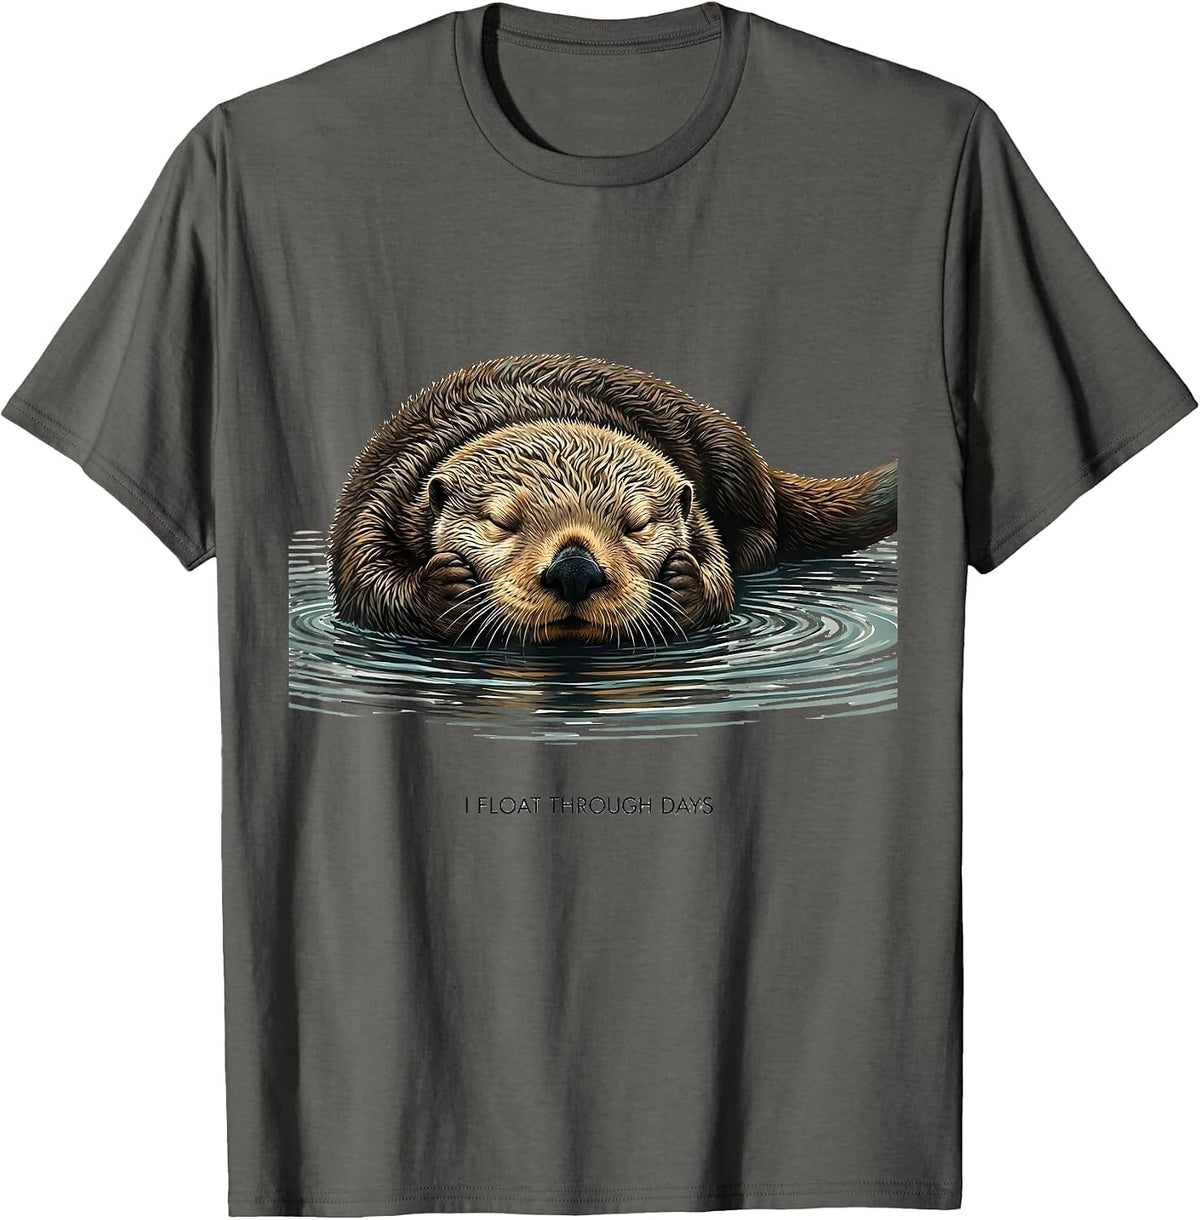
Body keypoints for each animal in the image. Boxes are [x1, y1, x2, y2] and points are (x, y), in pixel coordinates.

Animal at [329, 355, 897, 645]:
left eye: (637, 525)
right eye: (501, 521)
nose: (574, 570)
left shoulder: (698, 511)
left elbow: (716, 571)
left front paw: (684, 583)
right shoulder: (387, 490)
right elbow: (365, 580)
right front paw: (443, 587)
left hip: (725, 447)